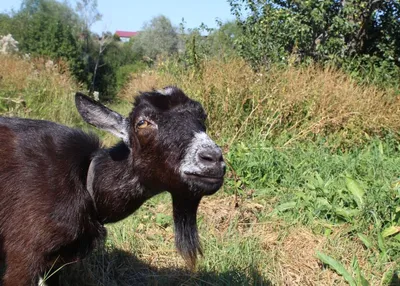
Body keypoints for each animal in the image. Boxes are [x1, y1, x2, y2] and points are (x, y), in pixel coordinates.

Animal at [0, 87, 225, 286]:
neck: (86, 180)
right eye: (142, 122)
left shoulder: (59, 264)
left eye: (202, 117)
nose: (213, 159)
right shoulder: (22, 255)